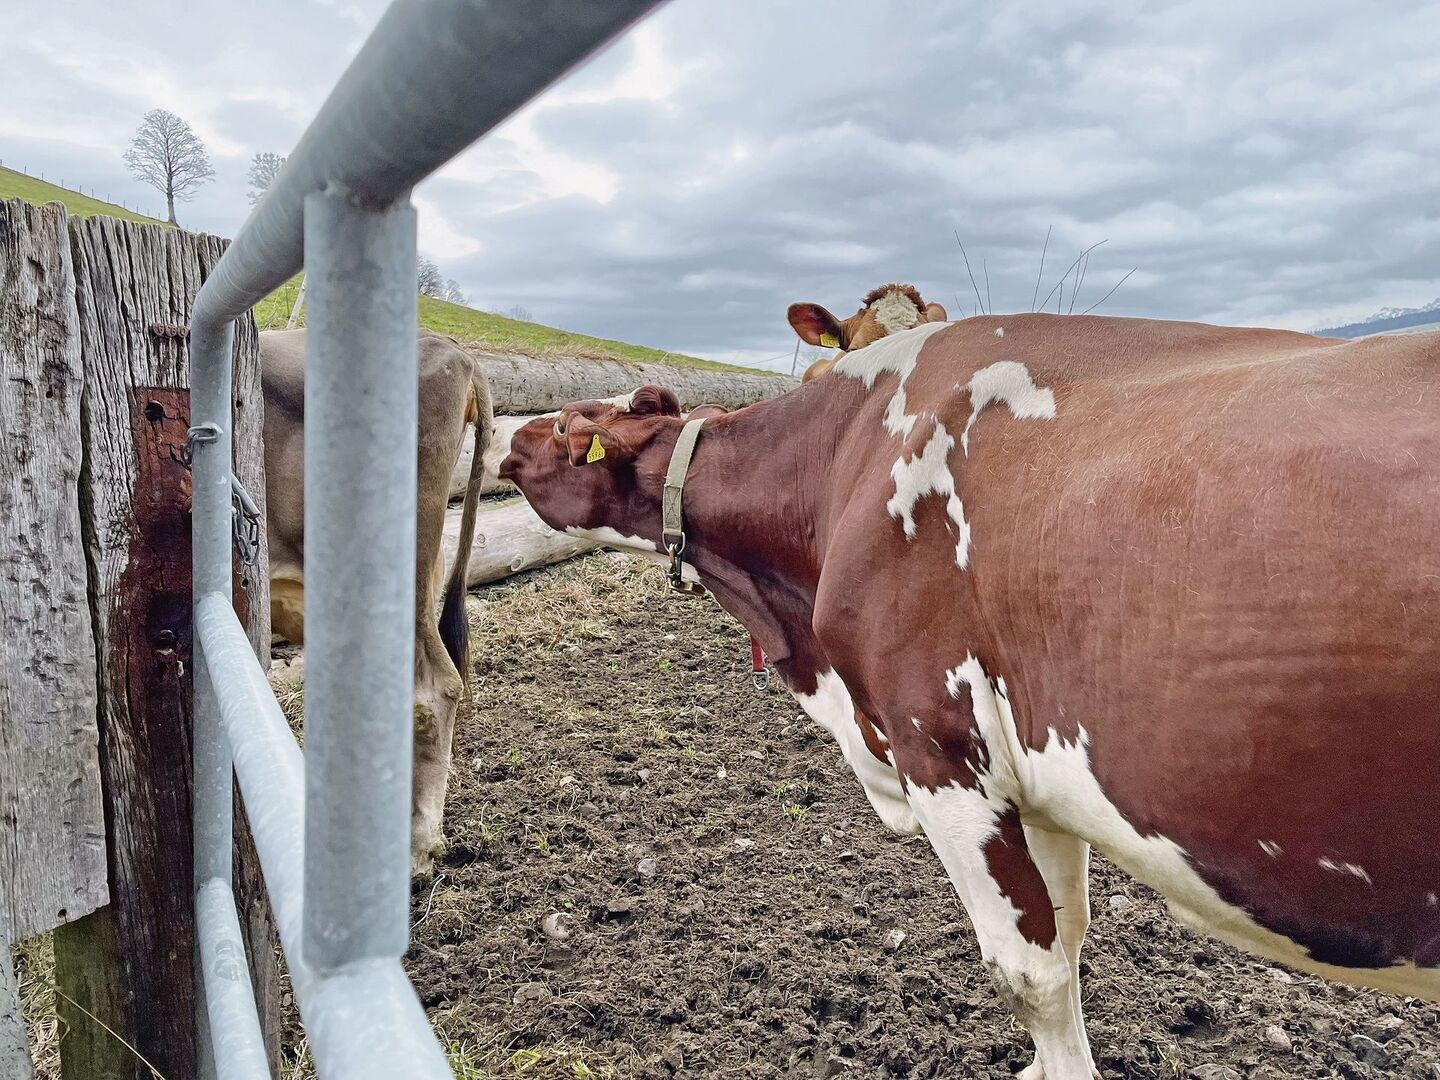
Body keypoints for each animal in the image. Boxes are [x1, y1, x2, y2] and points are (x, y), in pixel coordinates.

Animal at [498, 314, 1440, 1078]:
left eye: (575, 426)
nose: (513, 435)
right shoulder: (1043, 776)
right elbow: (1069, 933)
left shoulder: (937, 743)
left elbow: (1028, 975)